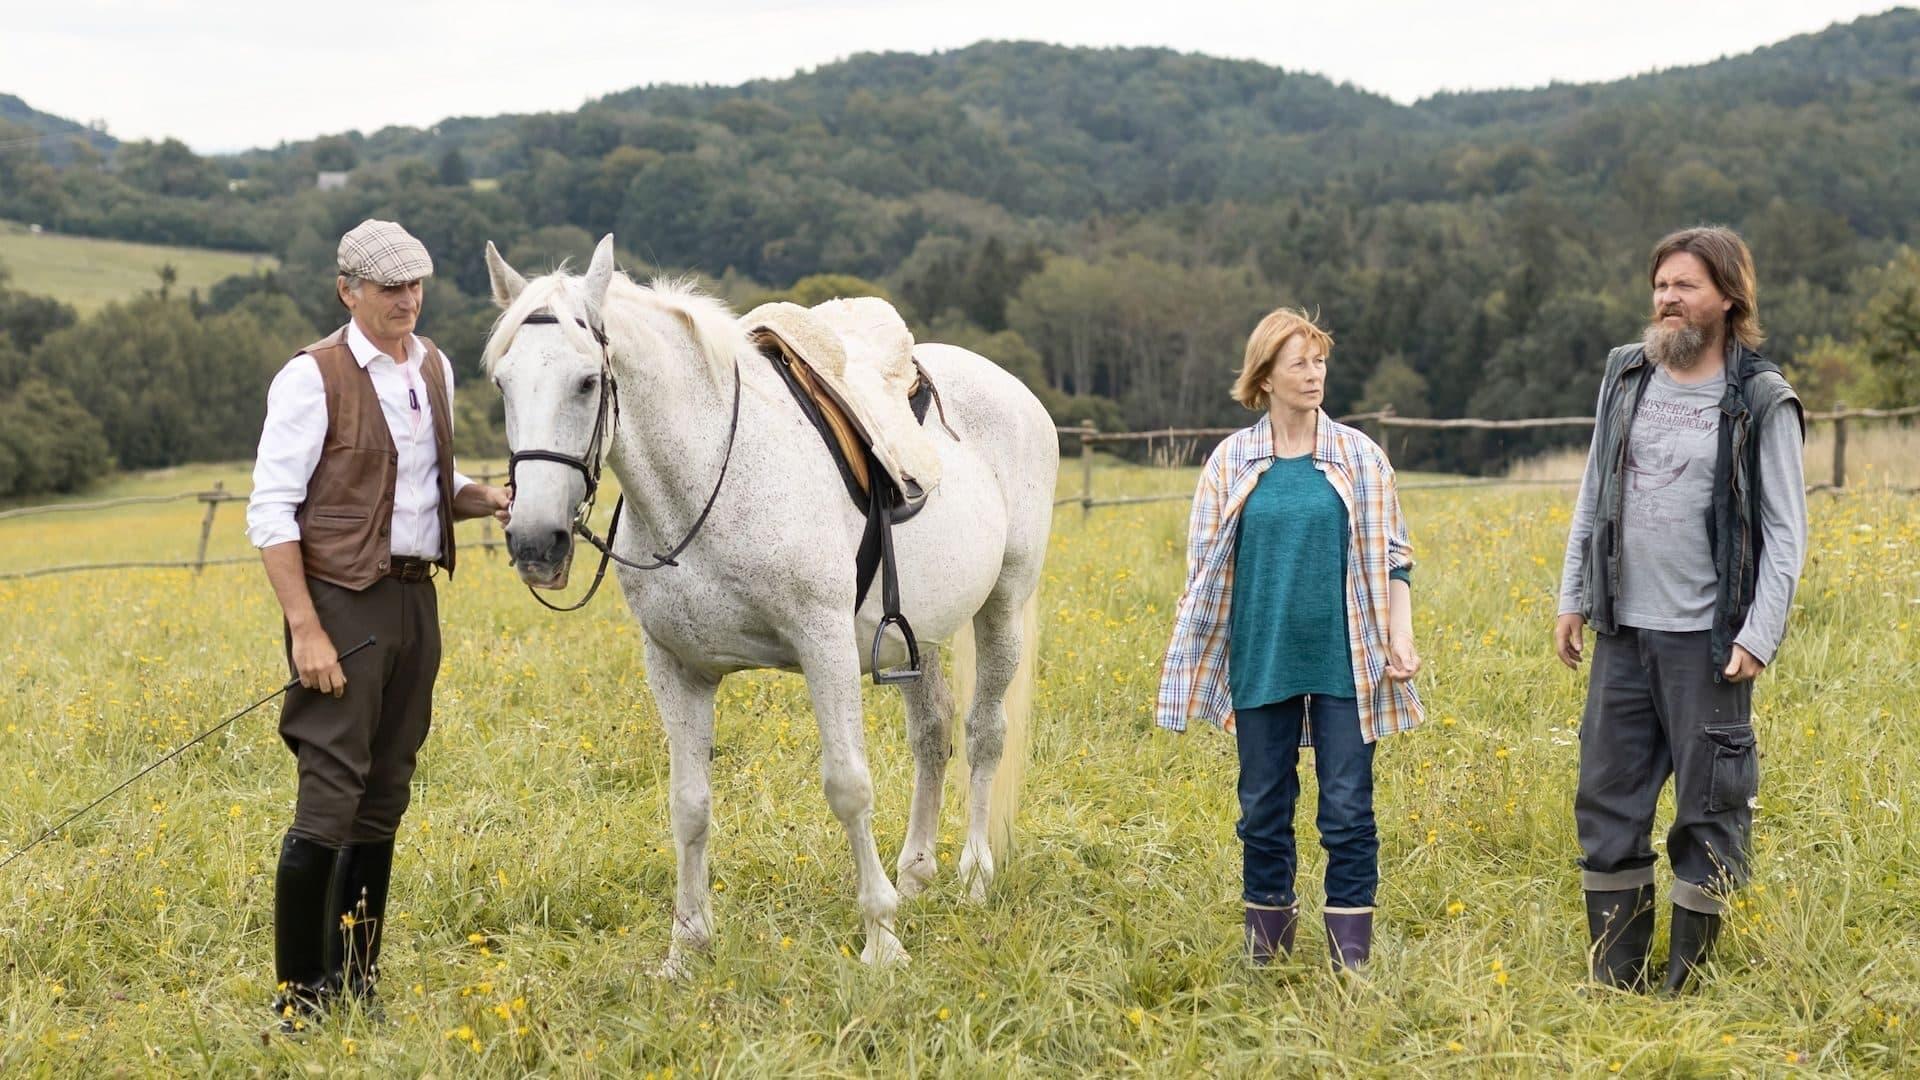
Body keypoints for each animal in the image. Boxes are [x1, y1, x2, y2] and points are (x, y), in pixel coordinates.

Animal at [476, 235, 1052, 968]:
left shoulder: (825, 646)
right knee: (933, 733)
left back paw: (974, 876)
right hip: (916, 633)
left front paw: (881, 939)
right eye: (503, 382)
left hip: (1002, 605)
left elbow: (848, 786)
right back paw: (916, 874)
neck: (705, 478)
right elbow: (689, 804)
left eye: (586, 382)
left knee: (983, 735)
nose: (534, 542)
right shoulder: (676, 667)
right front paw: (686, 947)